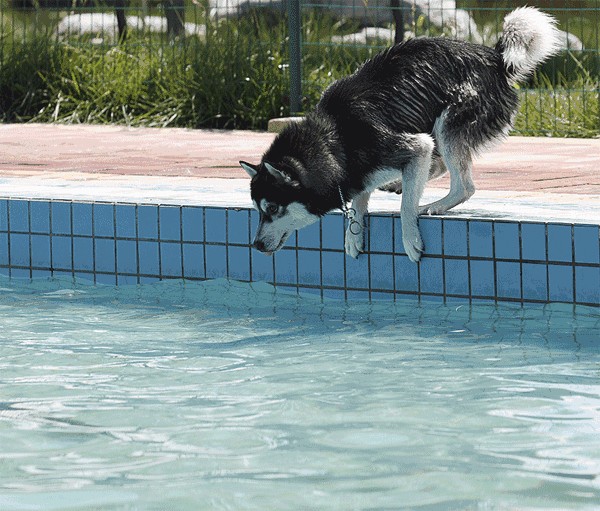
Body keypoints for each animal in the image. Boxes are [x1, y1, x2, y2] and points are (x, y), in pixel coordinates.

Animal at [241, 7, 560, 264]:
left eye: (272, 208)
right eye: (257, 210)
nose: (255, 245)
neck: (334, 140)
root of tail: (495, 57)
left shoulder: (413, 145)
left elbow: (407, 206)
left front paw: (410, 239)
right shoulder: (359, 170)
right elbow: (360, 199)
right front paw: (353, 233)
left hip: (446, 125)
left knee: (463, 186)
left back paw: (433, 204)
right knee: (438, 167)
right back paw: (398, 183)